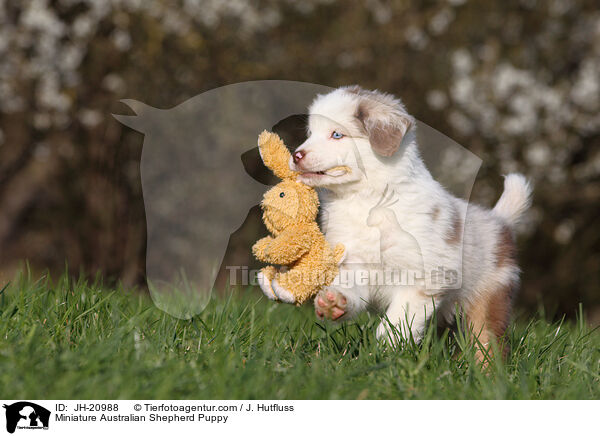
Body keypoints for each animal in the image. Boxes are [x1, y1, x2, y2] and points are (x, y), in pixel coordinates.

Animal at [288, 86, 532, 362]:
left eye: (336, 134)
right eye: (310, 133)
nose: (296, 155)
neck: (364, 199)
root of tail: (500, 221)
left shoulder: (423, 277)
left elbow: (397, 320)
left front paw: (385, 353)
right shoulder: (354, 260)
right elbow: (351, 287)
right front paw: (333, 302)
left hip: (489, 295)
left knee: (487, 342)